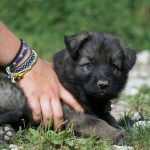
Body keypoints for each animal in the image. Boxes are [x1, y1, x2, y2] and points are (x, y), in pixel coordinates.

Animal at [0, 31, 136, 144]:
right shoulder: (74, 115)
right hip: (16, 96)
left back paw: (6, 132)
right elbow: (97, 123)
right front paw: (118, 135)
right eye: (89, 64)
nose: (103, 84)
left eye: (114, 67)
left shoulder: (101, 110)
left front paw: (123, 129)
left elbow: (110, 119)